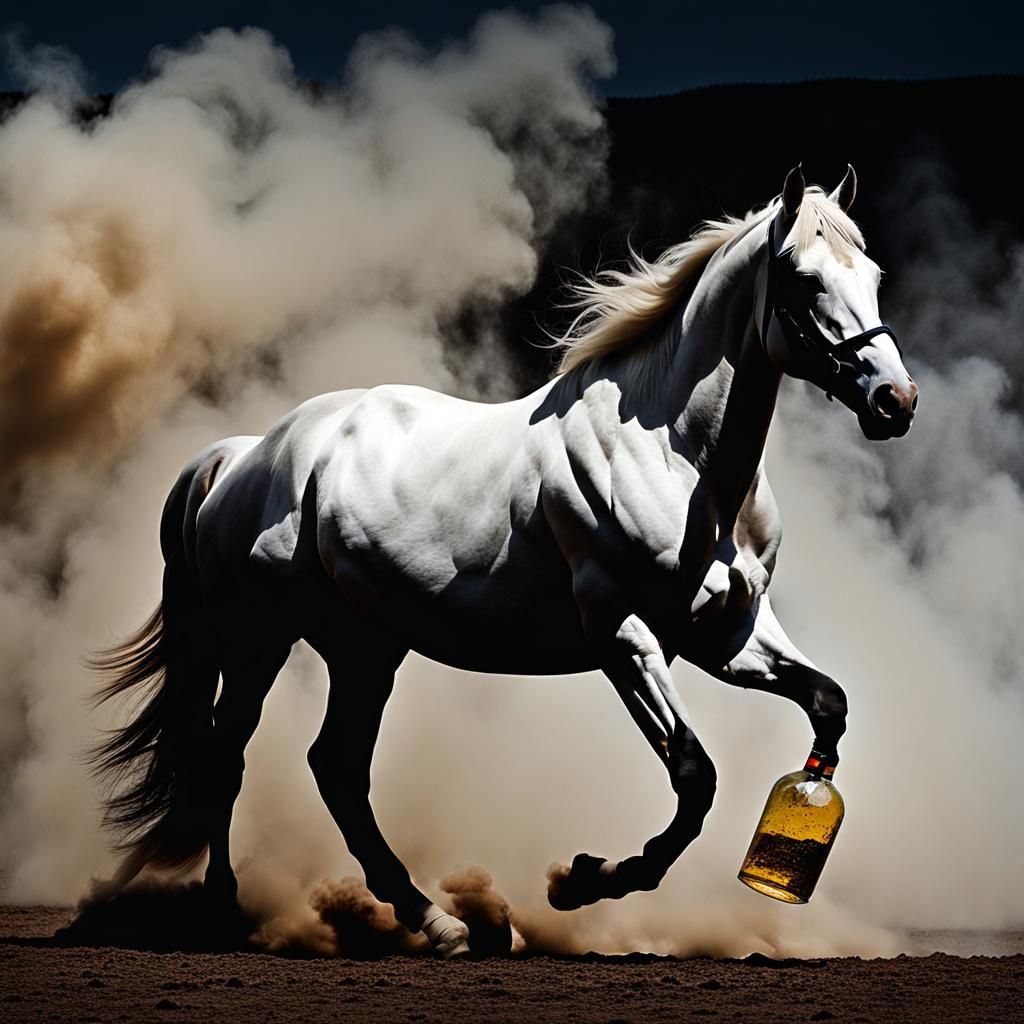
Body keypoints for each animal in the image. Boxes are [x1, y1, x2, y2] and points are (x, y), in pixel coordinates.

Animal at [91, 166, 918, 957]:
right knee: (229, 754)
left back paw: (437, 922)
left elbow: (826, 703)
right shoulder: (625, 636)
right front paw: (582, 881)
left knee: (336, 768)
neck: (681, 463)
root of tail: (243, 457)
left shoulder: (730, 636)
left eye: (873, 274)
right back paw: (226, 909)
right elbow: (694, 775)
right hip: (258, 641)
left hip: (364, 648)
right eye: (804, 277)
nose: (894, 401)